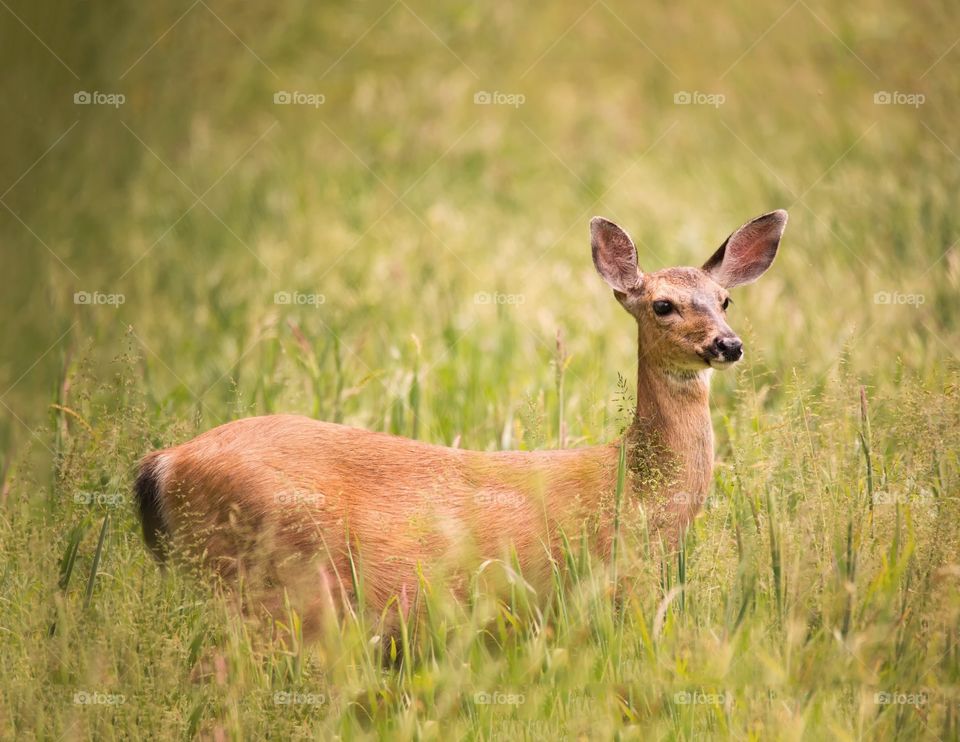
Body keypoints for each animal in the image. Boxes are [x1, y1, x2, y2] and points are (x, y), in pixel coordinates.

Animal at [135, 211, 788, 640]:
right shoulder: (604, 584)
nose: (728, 345)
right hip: (266, 578)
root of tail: (163, 463)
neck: (635, 484)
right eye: (662, 305)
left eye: (725, 300)